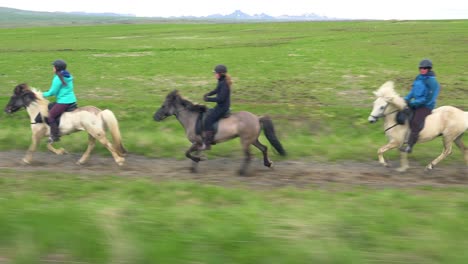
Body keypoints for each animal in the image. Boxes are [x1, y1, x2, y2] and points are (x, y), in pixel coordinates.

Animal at [154, 89, 286, 176]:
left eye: (163, 105)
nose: (155, 117)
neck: (192, 119)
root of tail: (257, 118)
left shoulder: (198, 142)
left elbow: (188, 153)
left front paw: (200, 160)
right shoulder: (198, 143)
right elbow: (192, 153)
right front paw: (194, 167)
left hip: (245, 141)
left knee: (249, 156)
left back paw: (241, 172)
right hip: (253, 140)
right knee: (264, 148)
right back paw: (268, 164)